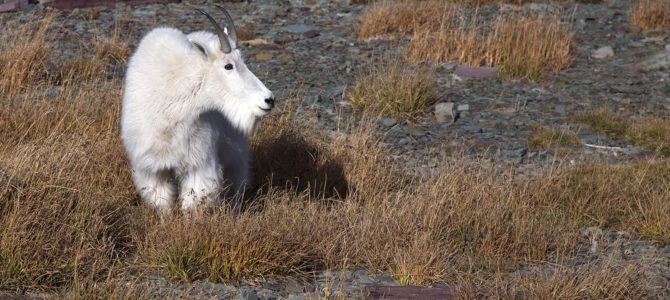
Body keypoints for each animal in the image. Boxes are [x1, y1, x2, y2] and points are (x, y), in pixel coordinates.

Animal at [121, 4, 276, 211]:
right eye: (228, 66)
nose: (268, 99)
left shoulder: (199, 164)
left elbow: (192, 204)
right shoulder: (152, 168)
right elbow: (162, 205)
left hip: (234, 149)